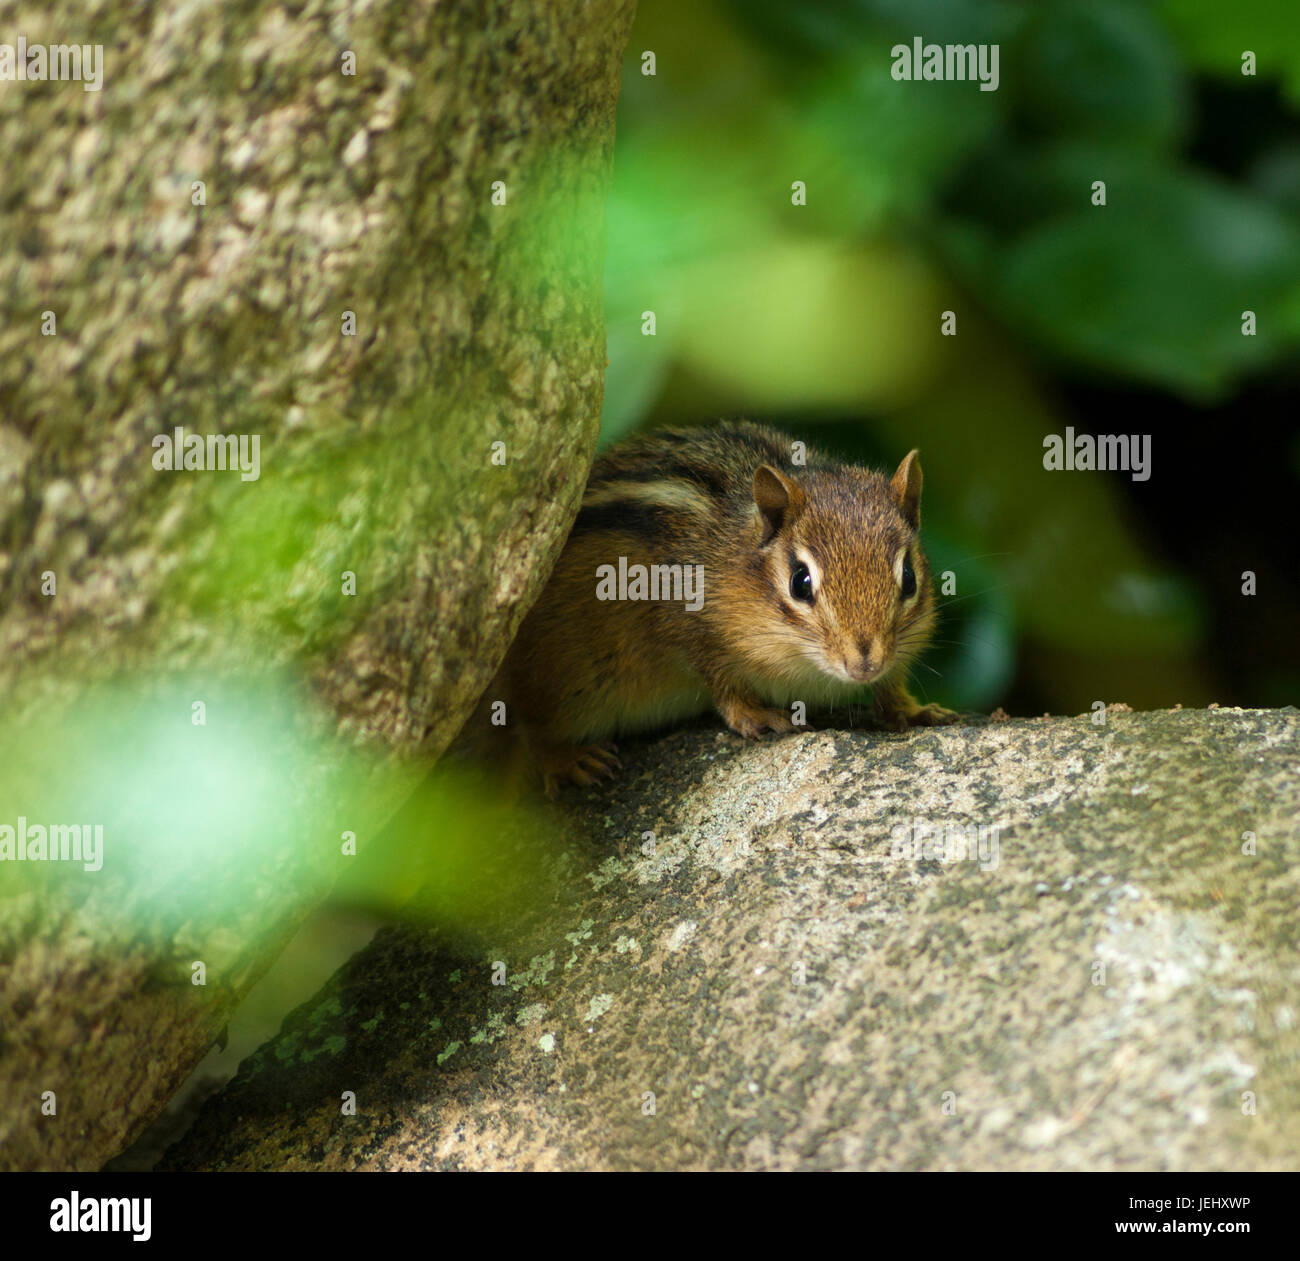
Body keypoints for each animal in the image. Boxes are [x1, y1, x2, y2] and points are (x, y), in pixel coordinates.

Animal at [478, 421, 958, 795]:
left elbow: (893, 685)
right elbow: (719, 678)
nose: (864, 665)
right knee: (528, 722)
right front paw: (755, 714)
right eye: (800, 583)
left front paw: (911, 709)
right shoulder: (685, 624)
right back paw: (566, 758)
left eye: (909, 578)